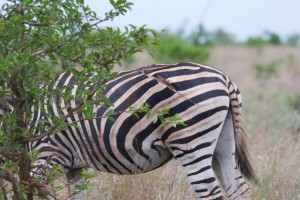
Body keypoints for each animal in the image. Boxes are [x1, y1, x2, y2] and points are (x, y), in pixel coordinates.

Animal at [0, 61, 255, 199]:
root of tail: (223, 78)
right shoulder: (74, 167)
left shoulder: (46, 156)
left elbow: (28, 192)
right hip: (223, 141)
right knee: (237, 188)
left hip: (191, 140)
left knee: (210, 191)